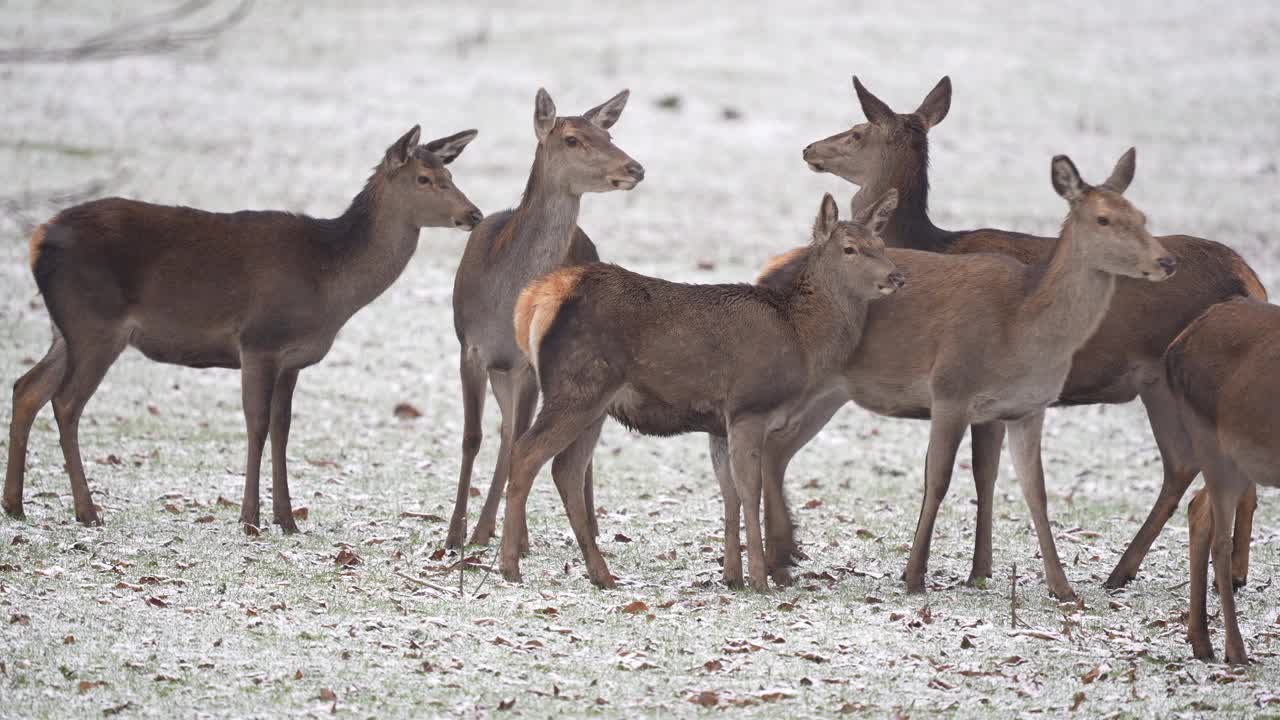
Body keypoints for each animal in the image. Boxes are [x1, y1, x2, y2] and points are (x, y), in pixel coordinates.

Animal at [2, 122, 481, 530]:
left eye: (450, 173)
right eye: (424, 178)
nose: (474, 213)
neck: (329, 282)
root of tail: (37, 239)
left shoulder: (293, 359)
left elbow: (283, 429)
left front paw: (286, 520)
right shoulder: (258, 340)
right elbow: (257, 425)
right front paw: (249, 519)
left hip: (66, 330)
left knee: (26, 388)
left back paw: (15, 505)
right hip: (96, 324)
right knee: (65, 402)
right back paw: (87, 511)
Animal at [450, 89, 650, 548]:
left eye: (608, 134)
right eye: (573, 139)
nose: (635, 167)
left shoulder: (525, 365)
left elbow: (517, 440)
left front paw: (499, 535)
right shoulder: (470, 348)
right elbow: (473, 437)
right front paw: (455, 535)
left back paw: (584, 525)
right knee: (508, 432)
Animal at [499, 192, 901, 589]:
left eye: (881, 245)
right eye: (850, 249)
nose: (896, 276)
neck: (802, 339)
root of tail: (533, 300)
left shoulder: (718, 424)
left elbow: (729, 495)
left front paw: (732, 576)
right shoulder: (749, 408)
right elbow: (750, 493)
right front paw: (759, 579)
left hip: (596, 403)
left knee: (565, 469)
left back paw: (602, 575)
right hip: (577, 385)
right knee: (525, 453)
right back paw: (510, 566)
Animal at [798, 75, 1259, 589]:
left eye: (857, 131)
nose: (809, 148)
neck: (929, 242)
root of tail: (1247, 276)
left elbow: (975, 472)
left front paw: (968, 570)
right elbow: (988, 473)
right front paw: (981, 570)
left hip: (1167, 378)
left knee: (1190, 468)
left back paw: (1130, 570)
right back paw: (1225, 571)